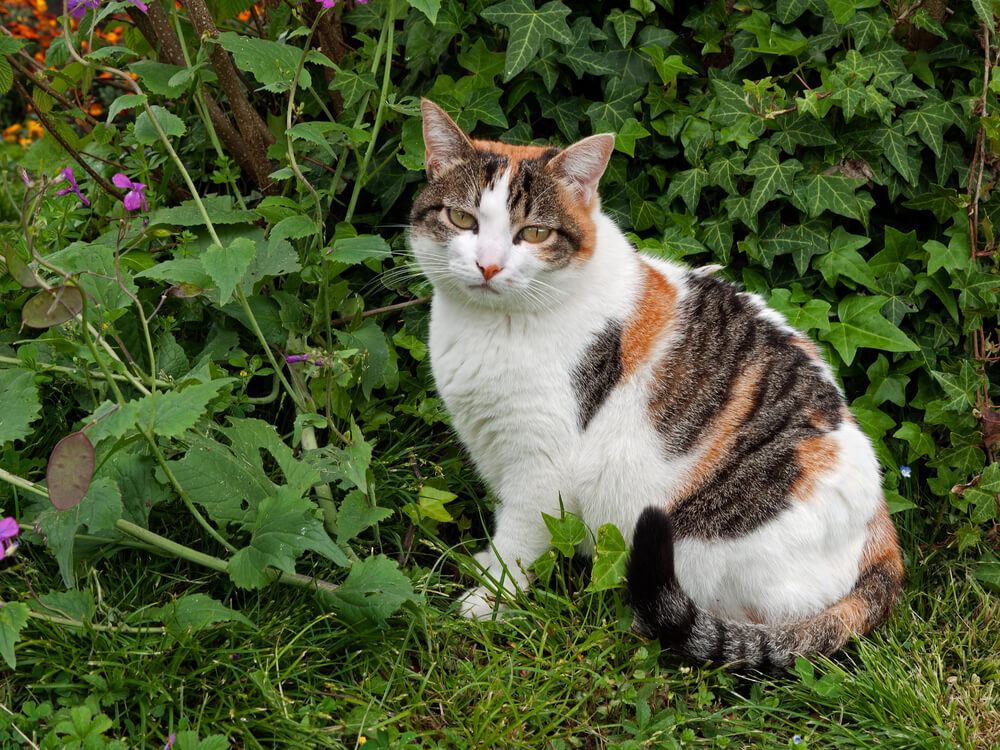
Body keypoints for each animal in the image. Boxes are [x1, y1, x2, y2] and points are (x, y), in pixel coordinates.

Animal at [408, 98, 908, 668]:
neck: (490, 328)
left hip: (702, 543)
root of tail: (882, 534)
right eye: (462, 219)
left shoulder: (543, 465)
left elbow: (518, 539)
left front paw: (485, 602)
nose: (488, 265)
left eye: (533, 233)